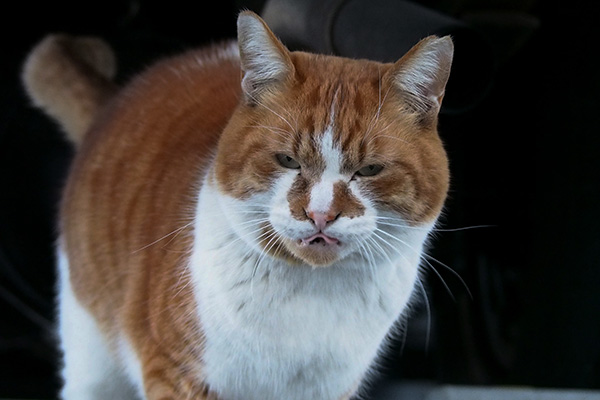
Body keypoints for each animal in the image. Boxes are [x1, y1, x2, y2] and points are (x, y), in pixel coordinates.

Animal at [23, 9, 454, 400]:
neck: (313, 296)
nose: (320, 214)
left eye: (369, 170)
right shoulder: (176, 375)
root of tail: (116, 98)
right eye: (288, 160)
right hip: (91, 355)